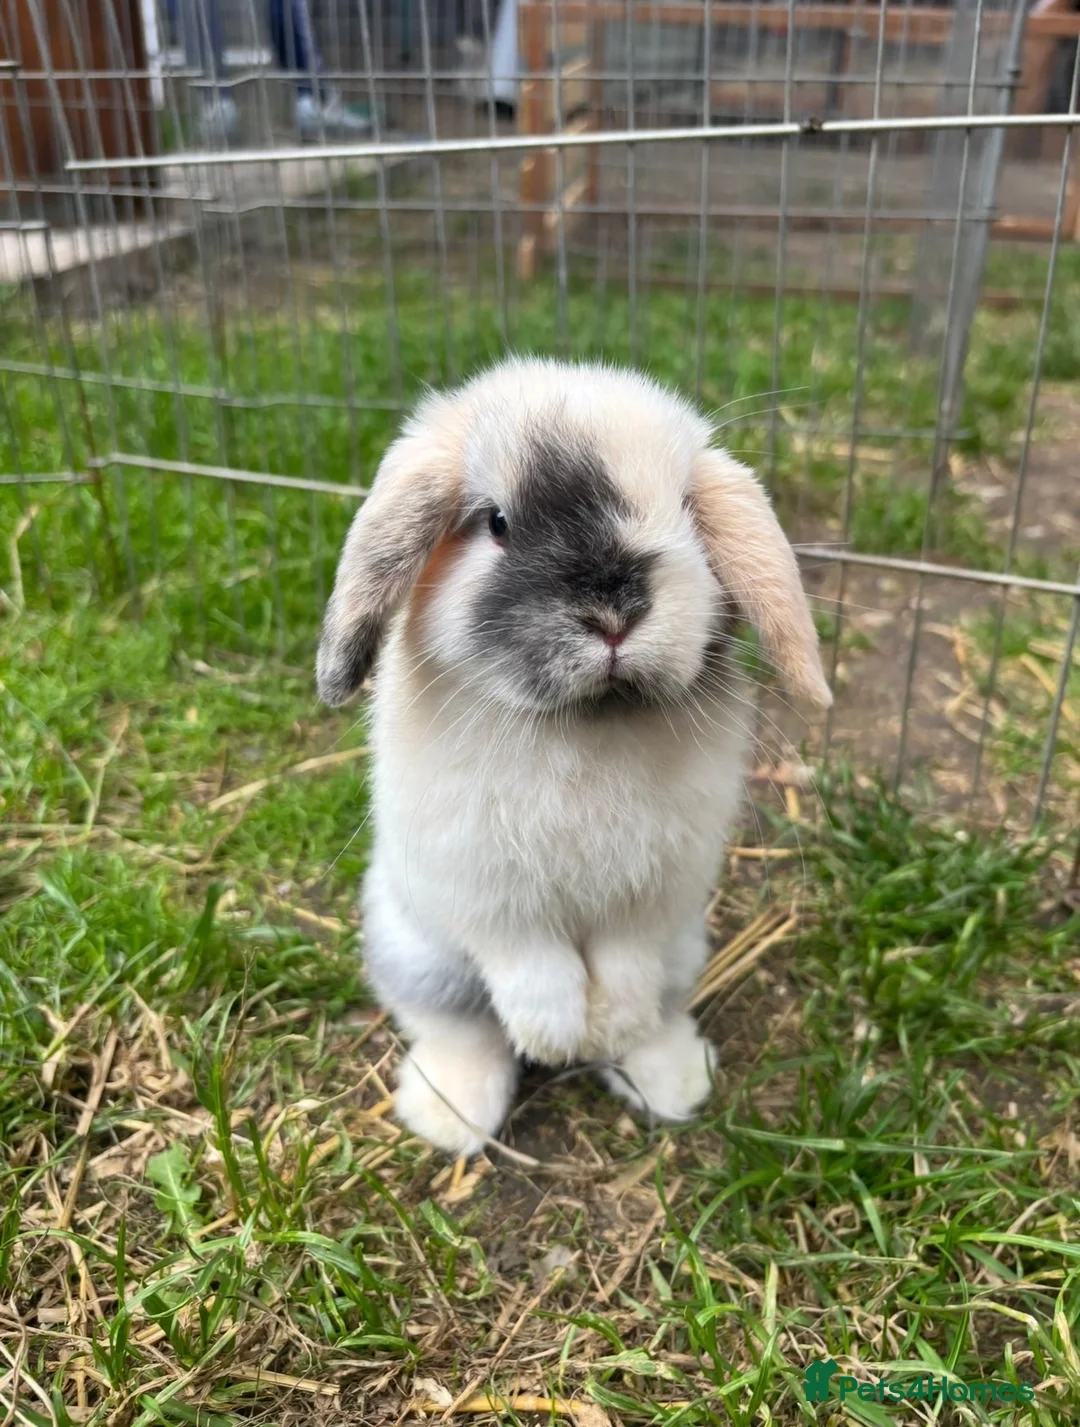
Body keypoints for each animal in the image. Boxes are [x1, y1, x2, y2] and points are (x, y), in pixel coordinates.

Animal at [316, 358, 831, 1156]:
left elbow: (623, 967)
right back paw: (450, 1114)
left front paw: (607, 1026)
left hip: (684, 946)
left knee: (659, 1009)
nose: (613, 610)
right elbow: (534, 970)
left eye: (686, 508)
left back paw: (672, 1078)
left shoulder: (652, 899)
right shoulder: (493, 898)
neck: (586, 724)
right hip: (422, 956)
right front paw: (557, 1038)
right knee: (462, 1029)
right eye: (497, 522)